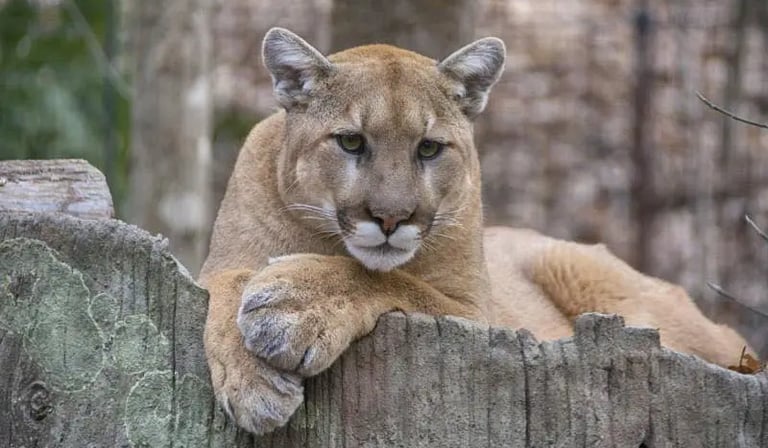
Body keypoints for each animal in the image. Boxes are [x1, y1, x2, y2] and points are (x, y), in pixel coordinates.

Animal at [199, 27, 752, 435]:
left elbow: (396, 282)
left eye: (428, 148)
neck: (326, 241)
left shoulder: (478, 315)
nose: (391, 218)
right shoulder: (214, 269)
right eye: (351, 142)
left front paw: (294, 305)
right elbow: (226, 283)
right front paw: (253, 383)